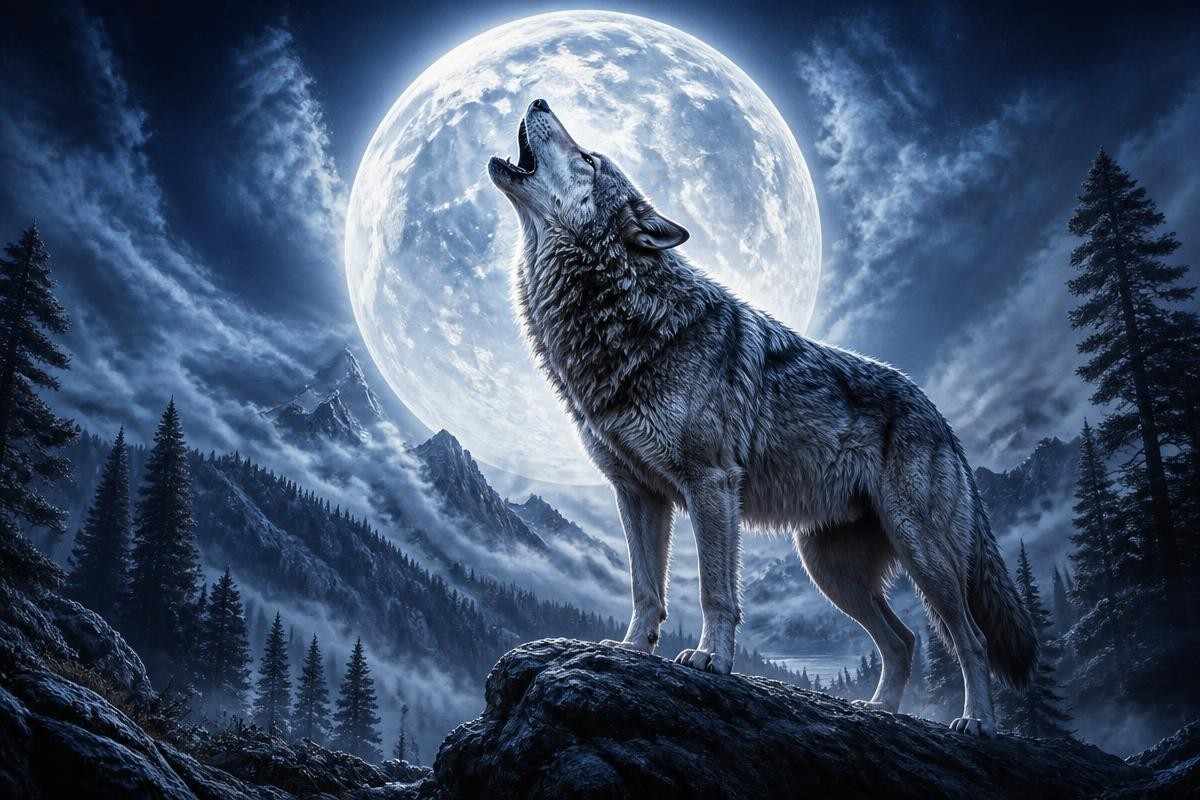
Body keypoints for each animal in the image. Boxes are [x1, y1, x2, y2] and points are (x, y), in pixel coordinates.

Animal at [488, 99, 1037, 735]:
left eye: (588, 158)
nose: (539, 101)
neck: (624, 318)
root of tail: (942, 418)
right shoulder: (637, 493)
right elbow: (645, 590)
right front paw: (628, 650)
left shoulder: (710, 484)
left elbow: (715, 592)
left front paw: (710, 660)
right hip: (829, 569)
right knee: (903, 641)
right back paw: (877, 710)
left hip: (919, 550)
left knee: (969, 638)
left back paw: (977, 723)